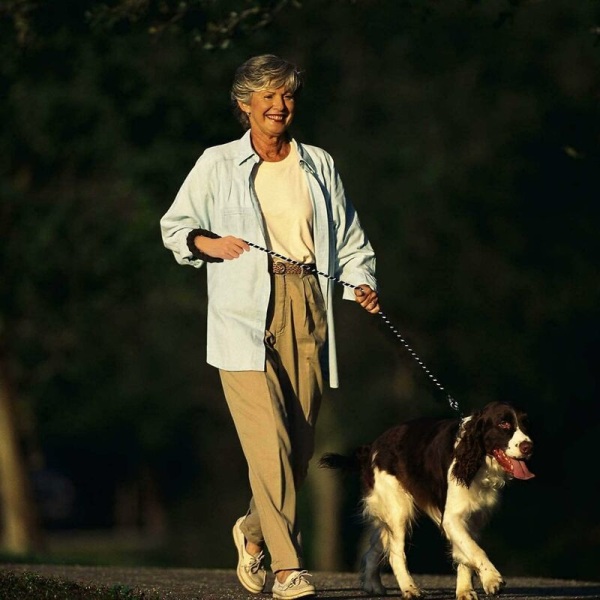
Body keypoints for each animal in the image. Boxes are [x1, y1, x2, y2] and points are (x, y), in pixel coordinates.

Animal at [318, 398, 536, 600]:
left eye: (526, 423)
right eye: (503, 424)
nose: (529, 447)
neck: (478, 462)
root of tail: (372, 447)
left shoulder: (474, 518)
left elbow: (465, 553)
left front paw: (465, 591)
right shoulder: (451, 518)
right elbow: (475, 550)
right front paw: (492, 579)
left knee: (377, 545)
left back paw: (373, 585)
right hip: (399, 510)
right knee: (395, 554)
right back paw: (410, 589)